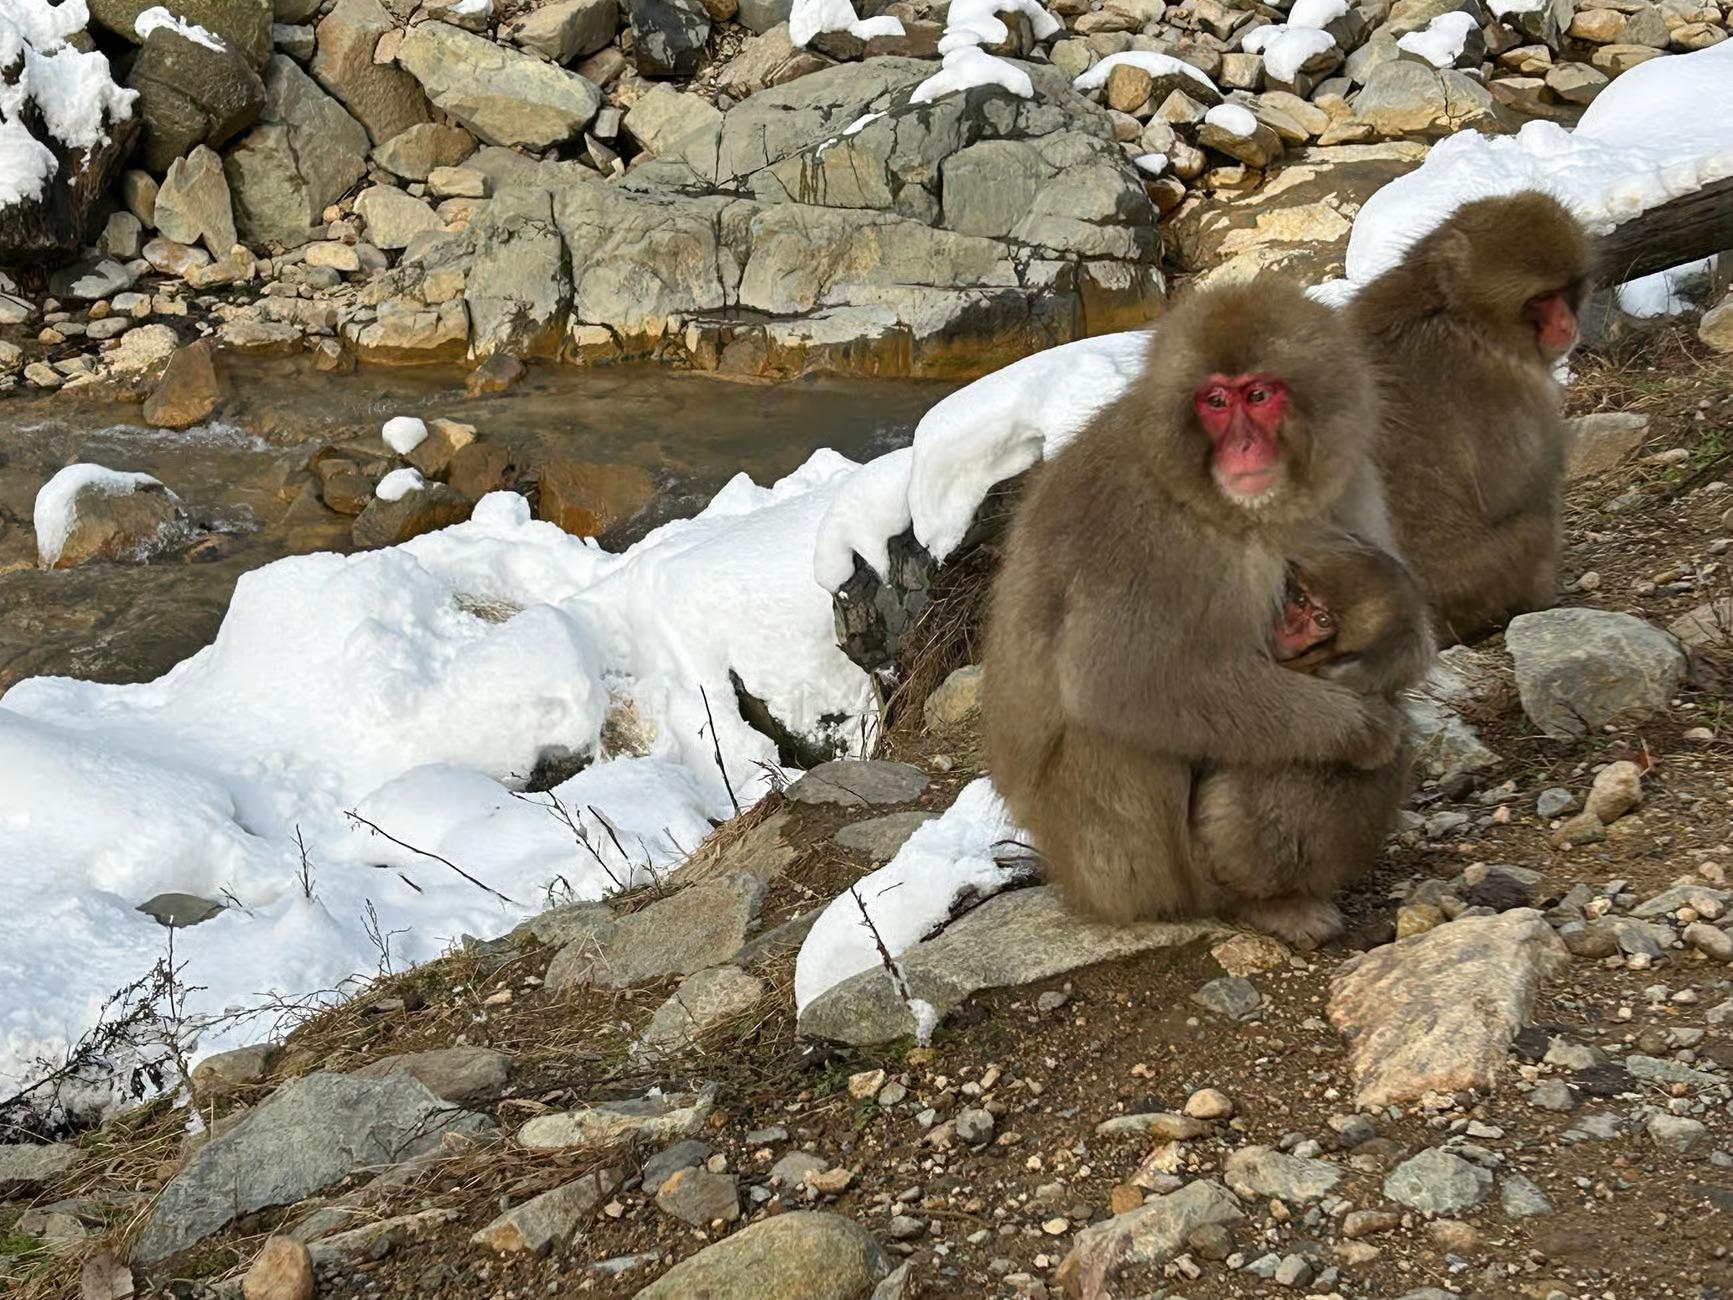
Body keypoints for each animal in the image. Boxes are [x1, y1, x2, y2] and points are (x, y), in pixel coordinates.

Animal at [981, 280, 1420, 949]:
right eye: (1215, 401)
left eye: (1258, 395)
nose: (1242, 445)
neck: (1222, 505)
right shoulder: (1138, 528)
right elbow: (1119, 682)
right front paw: (1359, 726)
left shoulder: (1346, 480)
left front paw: (1376, 666)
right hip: (1113, 865)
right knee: (1118, 734)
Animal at [1351, 189, 1594, 647]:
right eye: (1541, 300)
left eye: (1565, 290)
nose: (1566, 323)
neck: (1453, 308)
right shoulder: (1503, 382)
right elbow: (1513, 490)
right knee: (1537, 522)